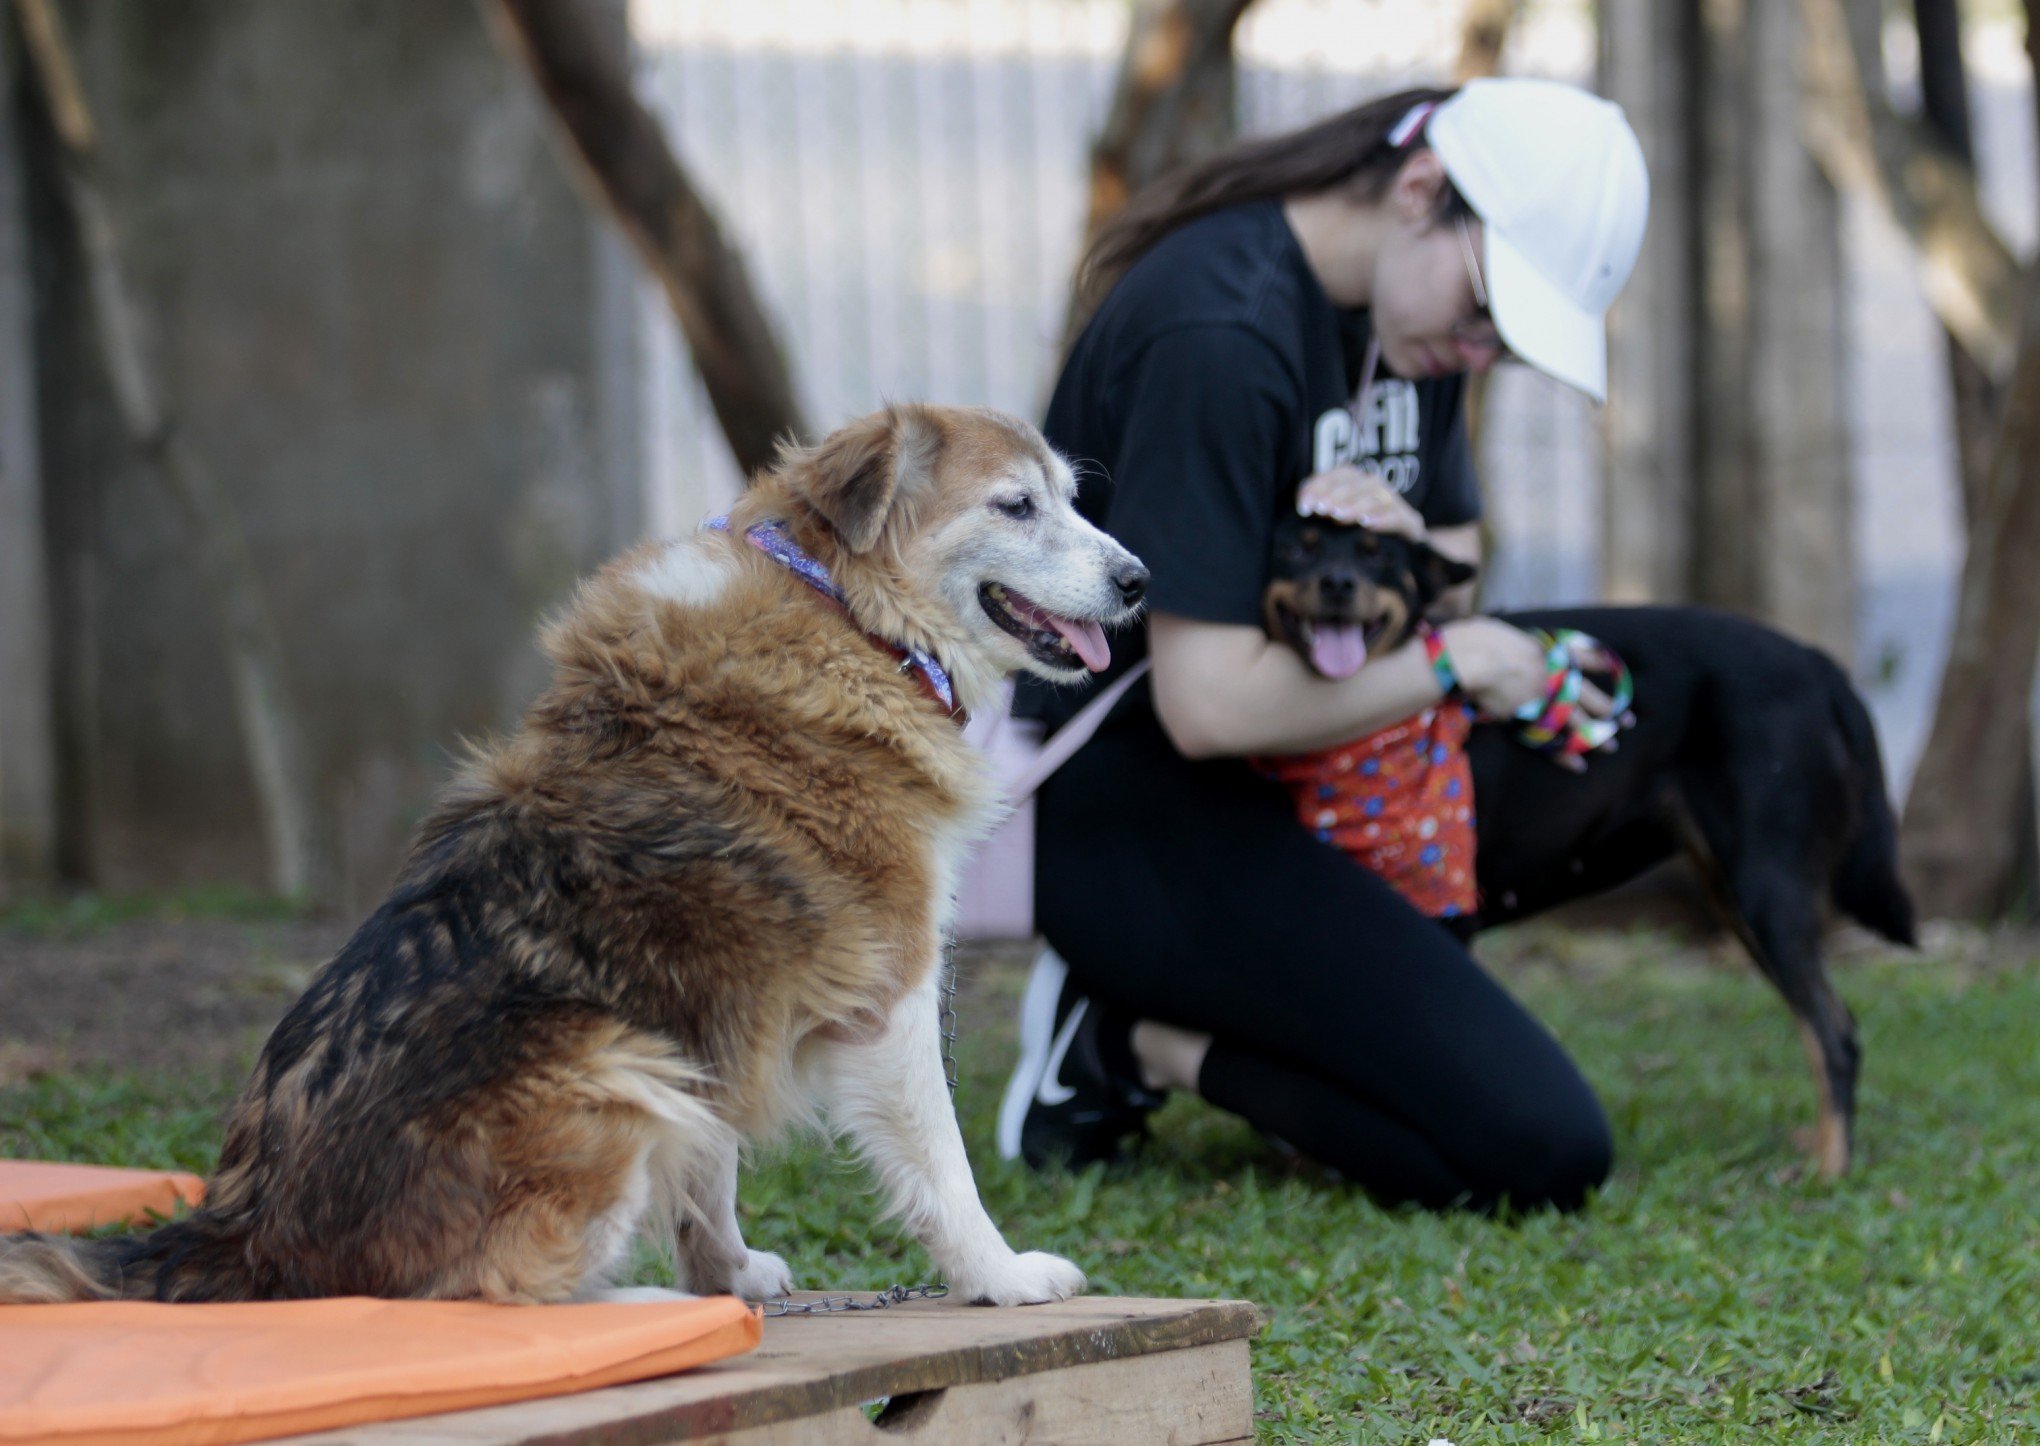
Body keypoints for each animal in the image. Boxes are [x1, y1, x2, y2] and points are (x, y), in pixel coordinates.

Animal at [0, 399, 1150, 1305]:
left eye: (1069, 496)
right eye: (1016, 506)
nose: (1141, 578)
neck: (847, 614)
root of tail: (245, 1229)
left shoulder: (715, 1008)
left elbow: (711, 1167)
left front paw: (728, 1277)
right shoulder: (887, 994)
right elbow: (942, 1168)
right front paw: (1000, 1276)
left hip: (645, 1055)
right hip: (612, 1064)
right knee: (480, 1294)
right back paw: (632, 1307)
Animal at [1264, 513, 1917, 1182]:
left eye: (1377, 554)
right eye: (1294, 548)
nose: (1338, 583)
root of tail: (1820, 665)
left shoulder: (1443, 920)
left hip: (1767, 889)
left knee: (1835, 1034)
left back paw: (1829, 1170)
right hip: (1733, 891)